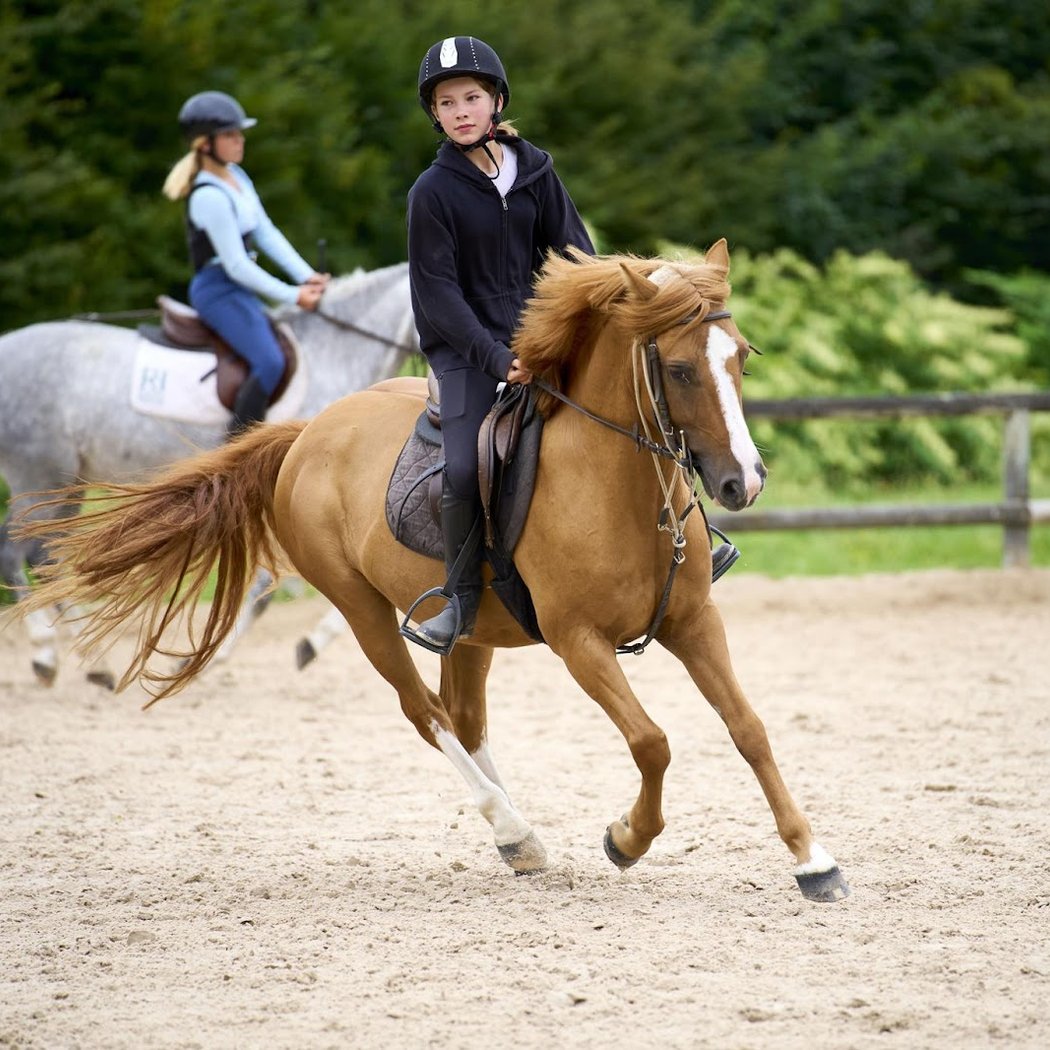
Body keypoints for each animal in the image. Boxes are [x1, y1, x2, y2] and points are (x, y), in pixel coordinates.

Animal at [0, 263, 415, 687]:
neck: (335, 355)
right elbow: (272, 584)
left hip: (63, 486)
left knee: (43, 558)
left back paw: (81, 661)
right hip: (40, 475)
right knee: (23, 554)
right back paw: (58, 656)